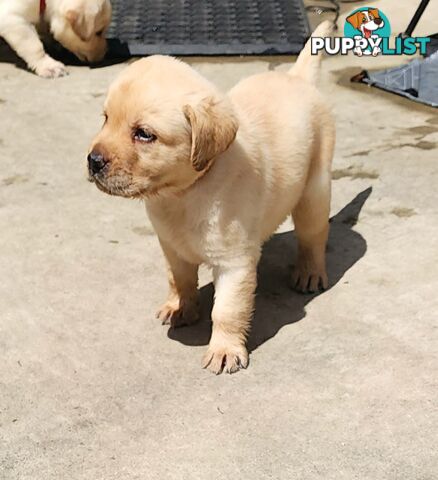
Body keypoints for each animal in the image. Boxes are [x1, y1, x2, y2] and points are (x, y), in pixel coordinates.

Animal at [88, 21, 336, 376]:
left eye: (144, 134)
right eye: (106, 119)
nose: (93, 161)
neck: (183, 193)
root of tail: (296, 77)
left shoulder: (234, 263)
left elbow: (227, 310)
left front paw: (224, 349)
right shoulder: (172, 246)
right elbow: (179, 280)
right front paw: (180, 308)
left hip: (314, 190)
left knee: (313, 236)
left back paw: (310, 273)